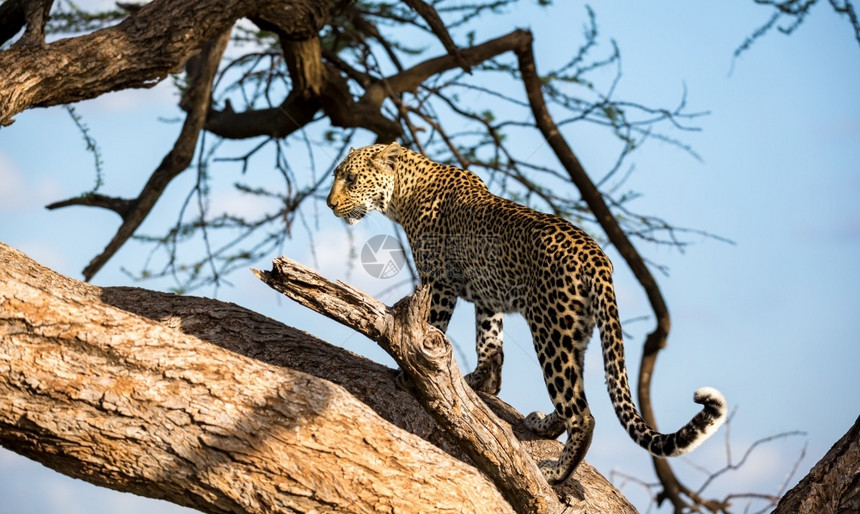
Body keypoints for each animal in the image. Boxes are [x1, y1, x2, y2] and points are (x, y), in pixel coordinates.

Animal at [326, 142, 728, 482]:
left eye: (351, 179)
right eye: (337, 175)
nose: (329, 204)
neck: (404, 194)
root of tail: (598, 258)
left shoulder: (439, 282)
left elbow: (431, 326)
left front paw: (411, 371)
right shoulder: (487, 297)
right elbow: (490, 343)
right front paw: (481, 383)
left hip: (550, 330)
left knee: (582, 413)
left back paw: (557, 474)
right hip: (575, 331)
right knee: (572, 398)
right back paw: (543, 425)